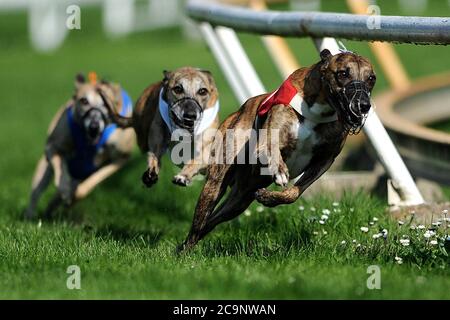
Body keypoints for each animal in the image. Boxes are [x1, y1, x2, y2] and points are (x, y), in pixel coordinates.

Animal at [24, 73, 135, 219]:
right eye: (84, 101)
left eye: (106, 104)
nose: (94, 126)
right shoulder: (52, 146)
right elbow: (60, 165)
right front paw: (65, 188)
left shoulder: (121, 157)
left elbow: (96, 178)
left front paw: (75, 195)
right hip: (44, 169)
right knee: (36, 191)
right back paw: (31, 215)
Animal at [179, 50, 376, 250]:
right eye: (343, 73)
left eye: (371, 79)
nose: (363, 105)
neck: (318, 111)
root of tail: (237, 113)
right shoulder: (265, 143)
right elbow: (272, 150)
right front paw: (280, 171)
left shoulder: (324, 161)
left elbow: (294, 193)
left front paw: (268, 197)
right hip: (216, 182)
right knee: (199, 221)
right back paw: (186, 249)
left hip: (241, 198)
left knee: (212, 220)